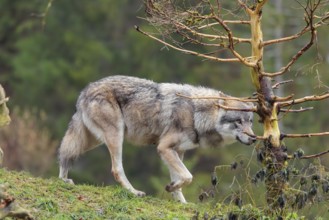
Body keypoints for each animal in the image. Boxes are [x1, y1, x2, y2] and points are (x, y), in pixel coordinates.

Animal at [58, 75, 254, 203]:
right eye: (238, 121)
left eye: (250, 122)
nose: (254, 137)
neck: (196, 113)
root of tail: (85, 91)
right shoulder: (164, 148)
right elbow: (188, 176)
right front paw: (171, 187)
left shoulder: (177, 151)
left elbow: (181, 180)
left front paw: (181, 201)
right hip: (116, 137)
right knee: (116, 169)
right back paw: (134, 192)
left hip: (91, 141)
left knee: (65, 155)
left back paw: (64, 181)